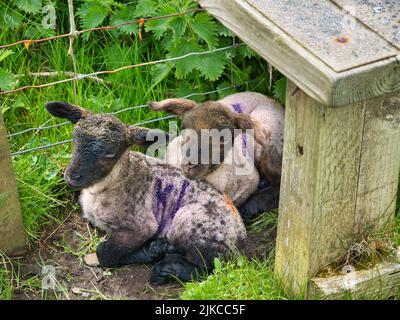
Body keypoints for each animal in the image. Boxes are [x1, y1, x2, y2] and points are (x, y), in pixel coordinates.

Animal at [43, 101, 244, 284]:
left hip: (189, 220)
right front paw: (154, 249)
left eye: (109, 154)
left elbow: (105, 253)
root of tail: (241, 238)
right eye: (74, 141)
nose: (72, 177)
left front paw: (147, 253)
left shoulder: (141, 225)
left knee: (208, 267)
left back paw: (166, 269)